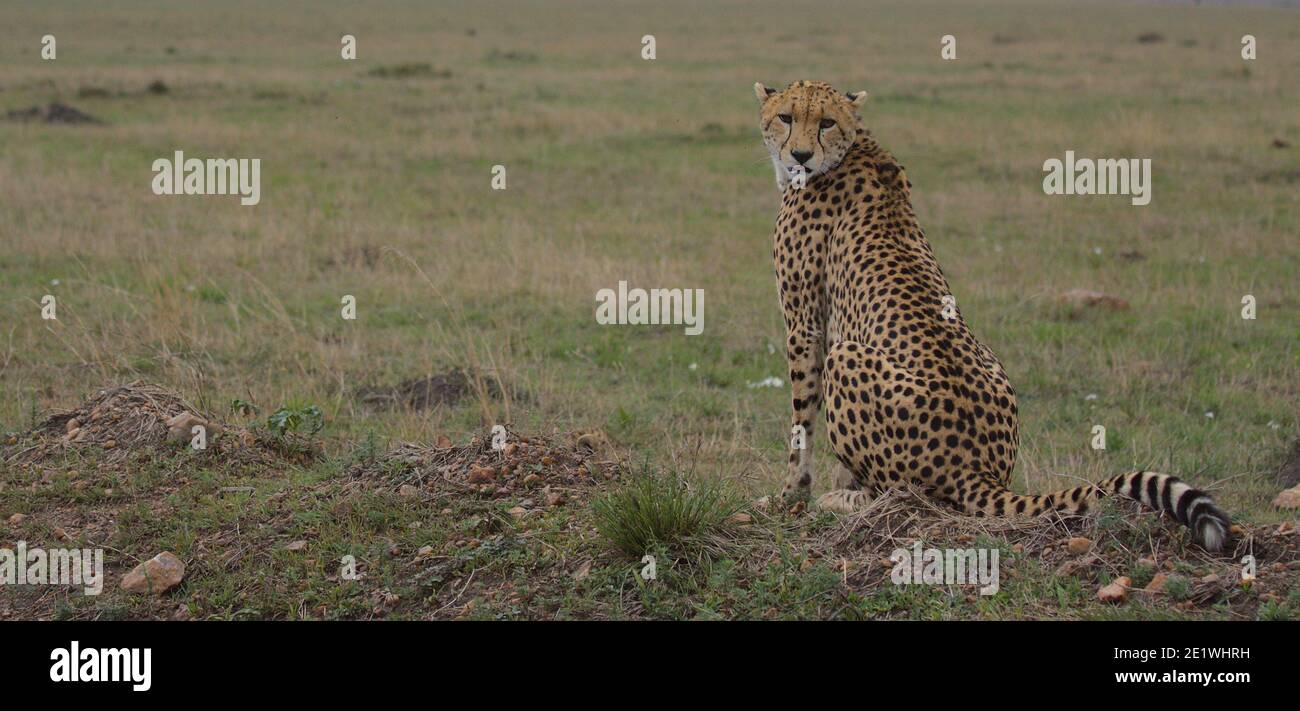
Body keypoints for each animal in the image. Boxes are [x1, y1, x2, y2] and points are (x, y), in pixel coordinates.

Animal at [754, 80, 1227, 553]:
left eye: (826, 122)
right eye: (786, 117)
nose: (800, 156)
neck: (854, 147)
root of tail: (978, 469)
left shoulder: (804, 325)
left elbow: (801, 421)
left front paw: (790, 497)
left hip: (848, 356)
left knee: (905, 494)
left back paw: (843, 501)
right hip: (990, 363)